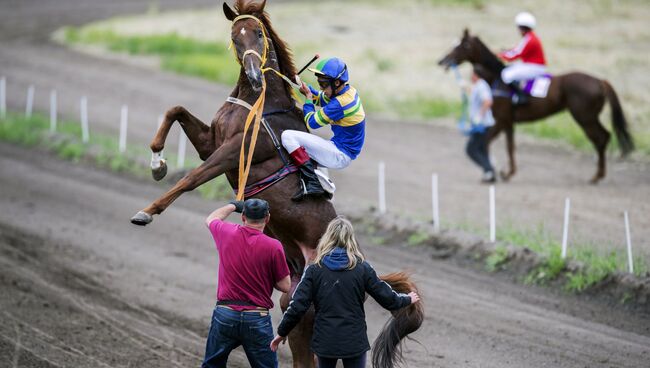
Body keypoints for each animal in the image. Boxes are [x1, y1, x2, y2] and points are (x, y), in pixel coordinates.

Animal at [129, 1, 422, 366]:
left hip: (308, 308)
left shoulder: (234, 151)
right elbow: (175, 110)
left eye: (258, 33)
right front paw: (157, 162)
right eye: (234, 36)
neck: (261, 101)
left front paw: (147, 211)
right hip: (294, 304)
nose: (255, 76)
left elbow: (192, 178)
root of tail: (357, 259)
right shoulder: (212, 142)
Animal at [438, 28, 632, 184]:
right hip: (588, 118)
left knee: (601, 139)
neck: (497, 79)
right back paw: (598, 174)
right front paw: (508, 173)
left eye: (463, 45)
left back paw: (597, 176)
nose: (442, 61)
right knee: (604, 136)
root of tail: (601, 81)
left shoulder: (501, 120)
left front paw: (492, 172)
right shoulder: (508, 123)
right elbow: (510, 147)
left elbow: (486, 143)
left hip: (585, 118)